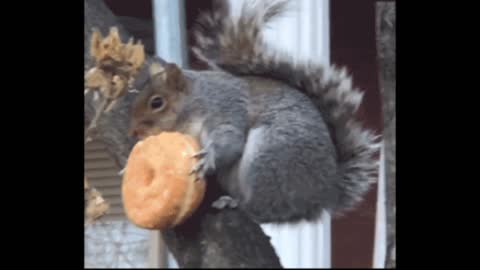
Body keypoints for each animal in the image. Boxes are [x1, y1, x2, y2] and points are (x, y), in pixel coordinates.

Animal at [126, 0, 378, 224]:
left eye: (157, 102)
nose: (133, 132)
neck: (195, 103)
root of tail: (324, 193)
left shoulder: (224, 111)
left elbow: (230, 142)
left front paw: (209, 158)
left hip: (269, 157)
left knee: (265, 209)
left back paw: (236, 203)